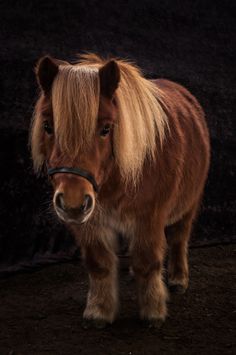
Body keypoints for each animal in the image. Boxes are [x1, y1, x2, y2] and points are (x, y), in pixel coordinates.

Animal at [30, 54, 210, 330]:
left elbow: (148, 261)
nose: (72, 202)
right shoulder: (91, 223)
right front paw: (99, 312)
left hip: (189, 203)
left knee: (179, 237)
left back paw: (178, 279)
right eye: (48, 126)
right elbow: (100, 264)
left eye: (106, 129)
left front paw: (153, 312)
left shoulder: (149, 219)